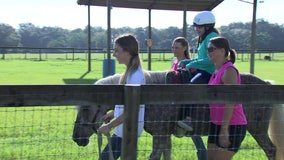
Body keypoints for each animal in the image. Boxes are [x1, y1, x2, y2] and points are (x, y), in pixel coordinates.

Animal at [71, 71, 284, 160]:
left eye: (85, 109)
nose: (76, 138)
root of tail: (266, 83)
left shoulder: (160, 134)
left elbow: (154, 156)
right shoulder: (164, 134)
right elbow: (166, 154)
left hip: (257, 129)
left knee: (271, 150)